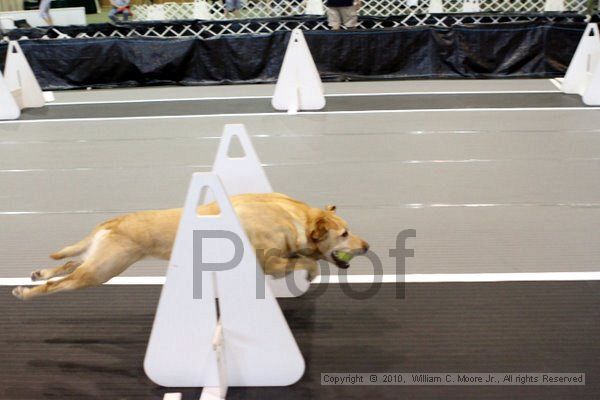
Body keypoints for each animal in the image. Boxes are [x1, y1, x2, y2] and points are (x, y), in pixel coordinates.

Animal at [14, 194, 368, 300]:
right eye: (345, 233)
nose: (366, 245)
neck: (292, 217)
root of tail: (113, 220)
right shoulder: (270, 262)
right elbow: (310, 263)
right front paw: (309, 274)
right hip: (102, 271)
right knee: (61, 283)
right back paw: (27, 293)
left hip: (99, 261)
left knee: (68, 263)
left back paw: (38, 273)